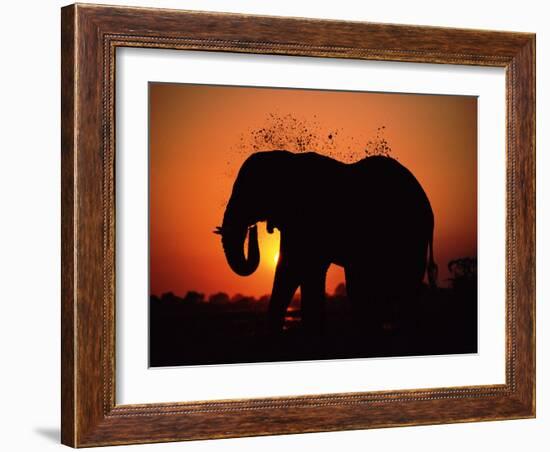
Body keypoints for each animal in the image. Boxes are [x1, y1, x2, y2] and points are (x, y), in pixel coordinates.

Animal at [216, 151, 440, 336]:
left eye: (250, 191)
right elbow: (296, 270)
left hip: (411, 237)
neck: (288, 159)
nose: (253, 229)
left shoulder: (309, 219)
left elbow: (297, 267)